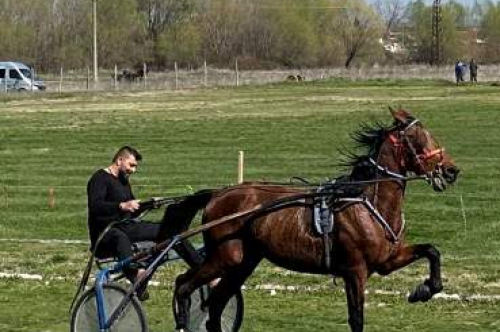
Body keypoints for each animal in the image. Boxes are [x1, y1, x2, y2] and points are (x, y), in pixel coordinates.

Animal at [166, 107, 458, 330]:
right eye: (418, 139)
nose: (452, 170)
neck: (368, 203)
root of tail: (218, 194)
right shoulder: (355, 270)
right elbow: (356, 319)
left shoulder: (387, 260)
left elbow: (432, 251)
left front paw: (424, 289)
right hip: (225, 257)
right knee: (183, 285)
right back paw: (181, 319)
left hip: (242, 262)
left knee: (215, 305)